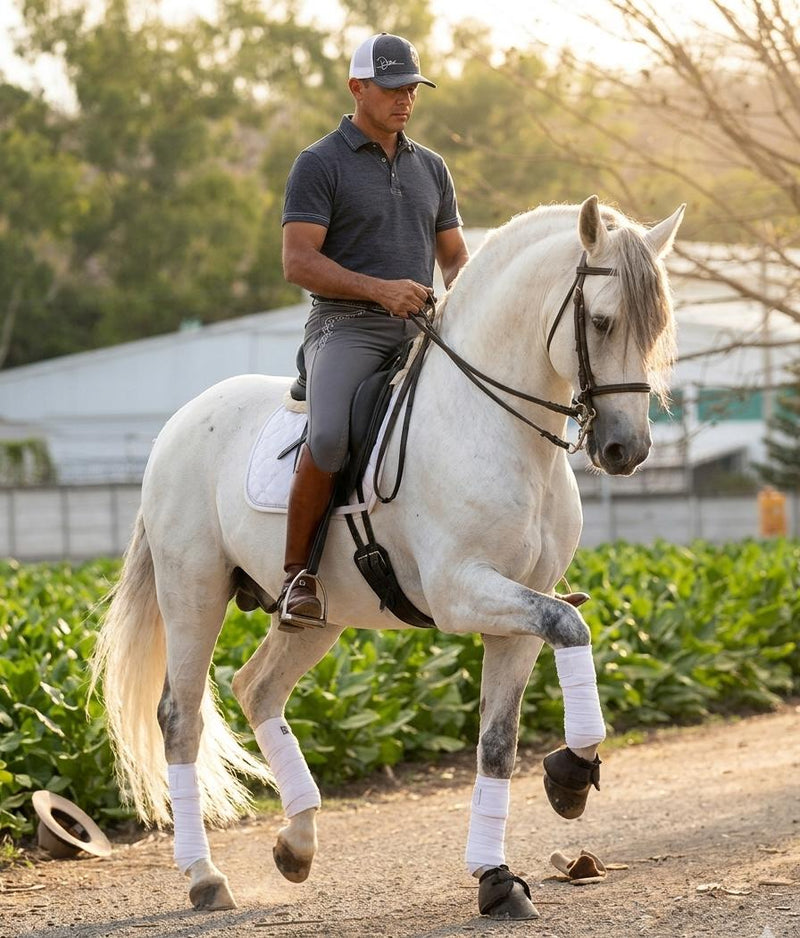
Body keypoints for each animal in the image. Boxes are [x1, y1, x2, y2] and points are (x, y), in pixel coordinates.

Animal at [90, 195, 684, 919]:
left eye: (658, 325)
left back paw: (297, 844)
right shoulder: (462, 592)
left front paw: (499, 874)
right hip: (193, 593)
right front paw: (570, 776)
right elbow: (573, 626)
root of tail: (176, 425)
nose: (628, 450)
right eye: (601, 320)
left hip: (316, 616)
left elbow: (499, 742)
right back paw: (205, 877)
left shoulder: (520, 609)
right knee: (181, 719)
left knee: (257, 688)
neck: (496, 425)